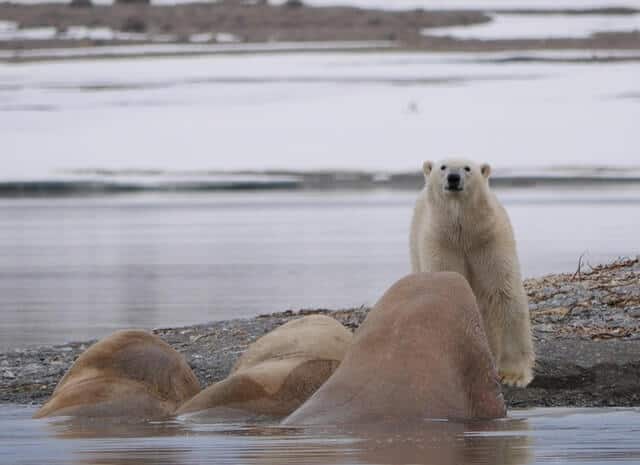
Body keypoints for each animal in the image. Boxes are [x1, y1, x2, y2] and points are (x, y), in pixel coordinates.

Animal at [410, 158, 536, 386]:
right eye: (443, 167)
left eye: (467, 168)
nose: (453, 178)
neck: (464, 235)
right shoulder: (441, 244)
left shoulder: (490, 242)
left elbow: (503, 293)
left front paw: (512, 375)